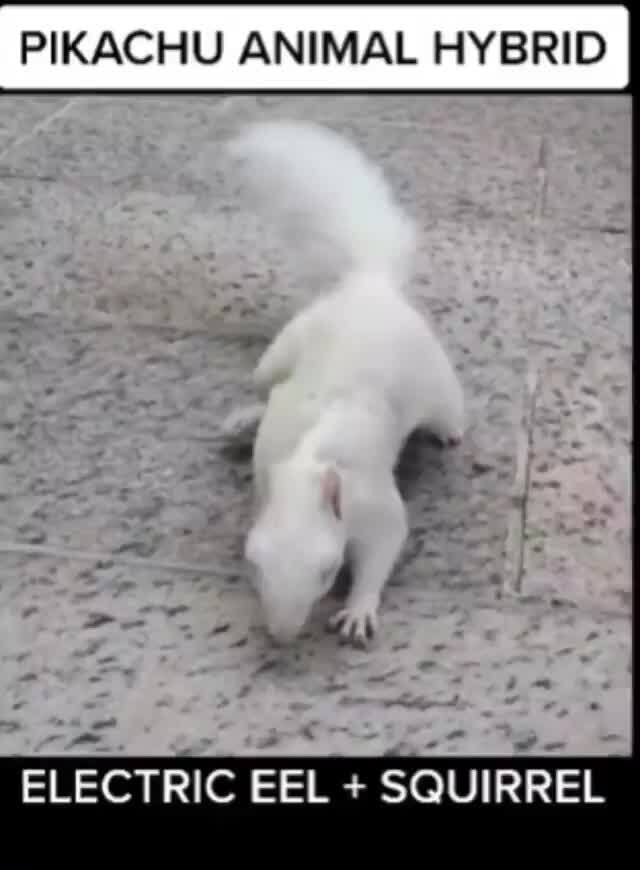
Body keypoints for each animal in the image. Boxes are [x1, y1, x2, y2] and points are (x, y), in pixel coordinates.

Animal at [221, 120, 464, 648]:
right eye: (254, 564)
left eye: (327, 570)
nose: (282, 633)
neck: (305, 468)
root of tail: (369, 286)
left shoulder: (372, 503)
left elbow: (385, 546)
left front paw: (358, 610)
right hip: (281, 351)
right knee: (264, 385)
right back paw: (244, 418)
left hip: (438, 385)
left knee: (450, 413)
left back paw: (450, 432)